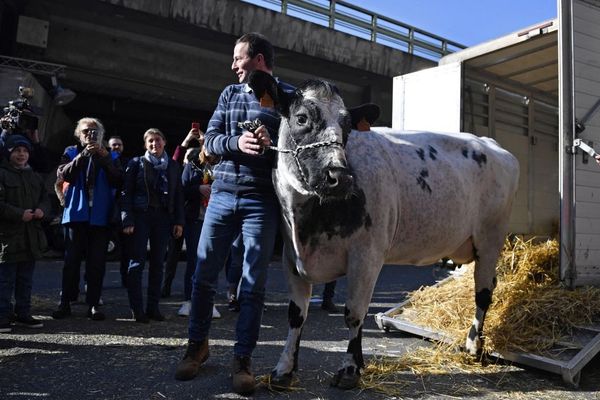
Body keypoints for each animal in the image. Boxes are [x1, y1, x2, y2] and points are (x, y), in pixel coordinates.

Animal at [248, 70, 520, 390]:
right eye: (301, 118)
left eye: (348, 126)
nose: (339, 177)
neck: (307, 223)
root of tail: (491, 143)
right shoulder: (291, 258)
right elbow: (296, 316)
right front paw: (284, 369)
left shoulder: (367, 255)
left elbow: (354, 313)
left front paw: (350, 369)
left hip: (491, 237)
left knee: (484, 292)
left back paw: (473, 345)